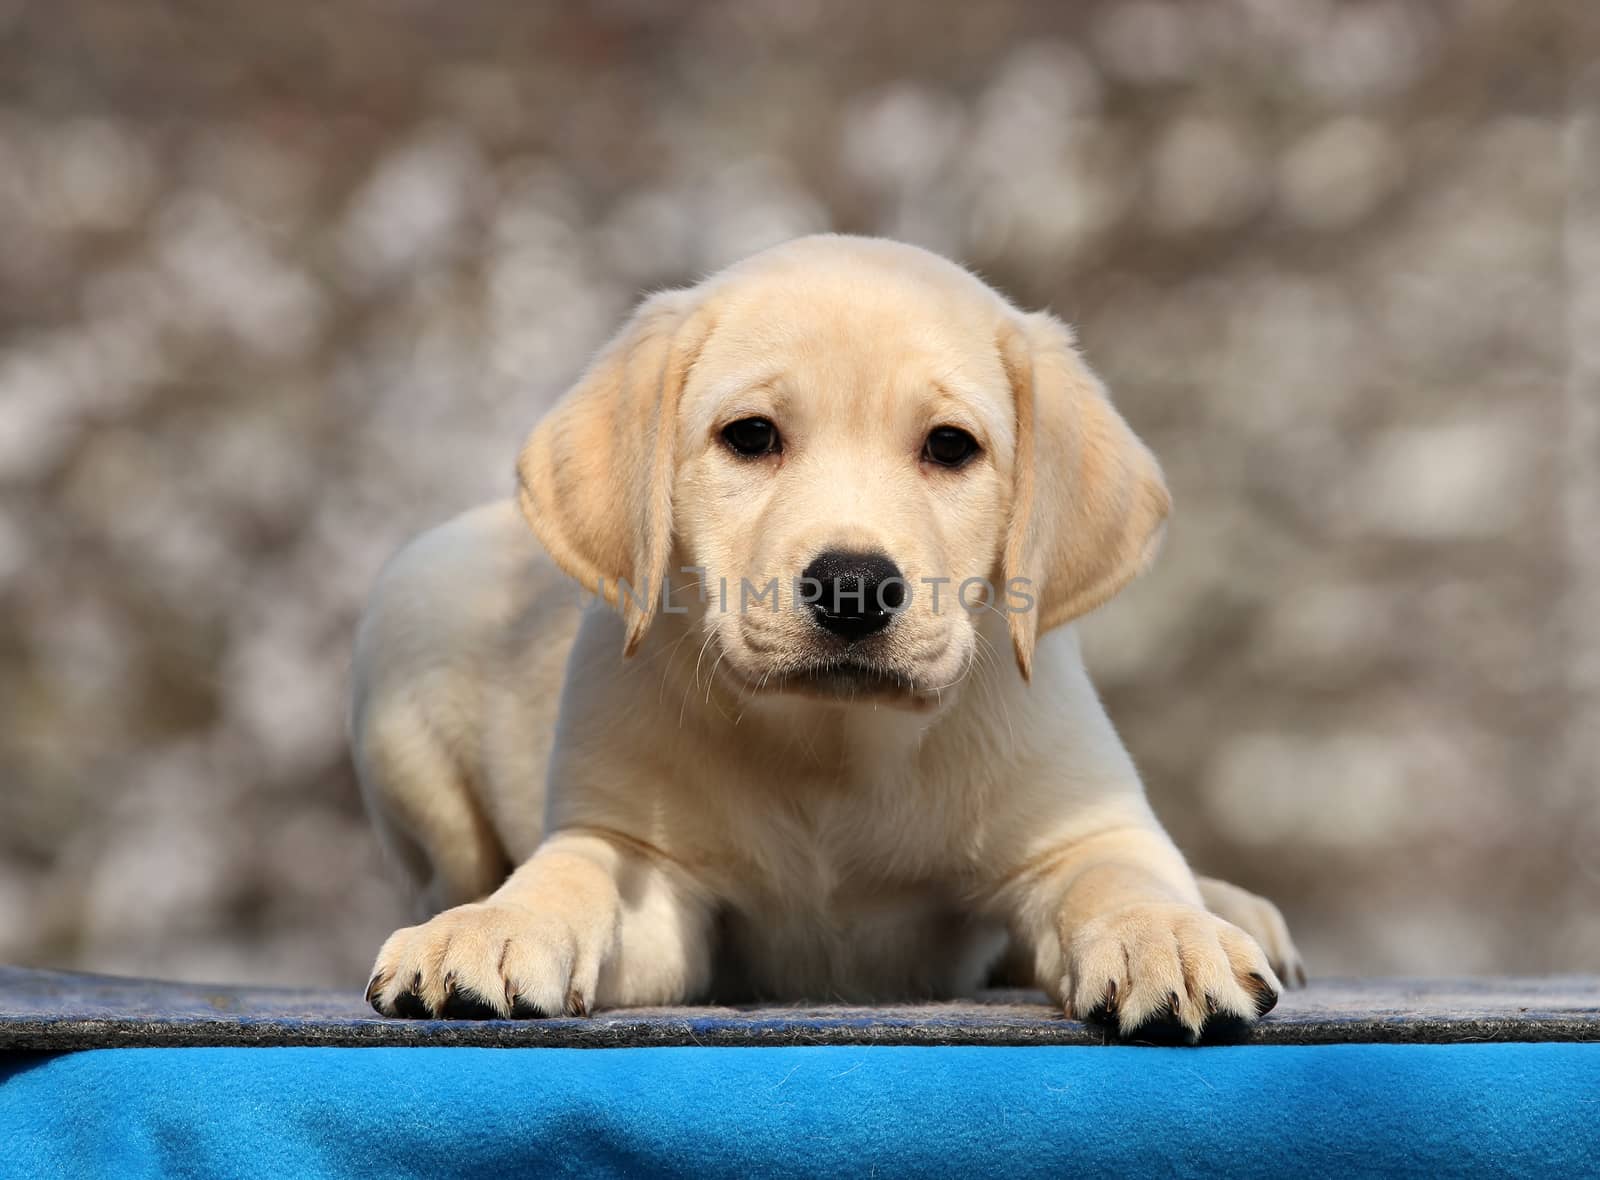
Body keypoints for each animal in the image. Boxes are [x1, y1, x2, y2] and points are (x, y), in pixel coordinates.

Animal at [350, 231, 1299, 1036]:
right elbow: (568, 874)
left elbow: (1121, 873)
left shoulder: (1077, 831)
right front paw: (497, 925)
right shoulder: (637, 860)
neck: (837, 741)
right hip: (413, 624)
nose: (853, 587)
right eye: (751, 436)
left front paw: (1168, 935)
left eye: (951, 446)